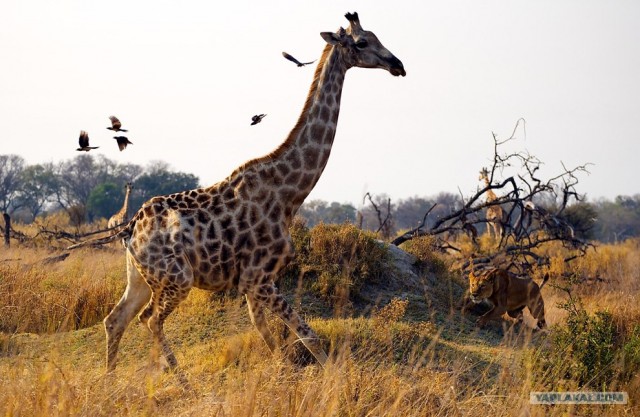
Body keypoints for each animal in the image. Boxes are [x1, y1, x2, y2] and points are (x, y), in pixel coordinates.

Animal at [69, 12, 404, 370]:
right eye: (362, 42)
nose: (398, 65)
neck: (290, 194)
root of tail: (131, 229)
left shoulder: (255, 281)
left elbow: (268, 333)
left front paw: (284, 373)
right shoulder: (258, 277)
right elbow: (306, 334)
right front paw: (331, 379)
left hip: (140, 277)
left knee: (115, 319)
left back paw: (111, 378)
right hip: (176, 277)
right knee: (150, 319)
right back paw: (179, 378)